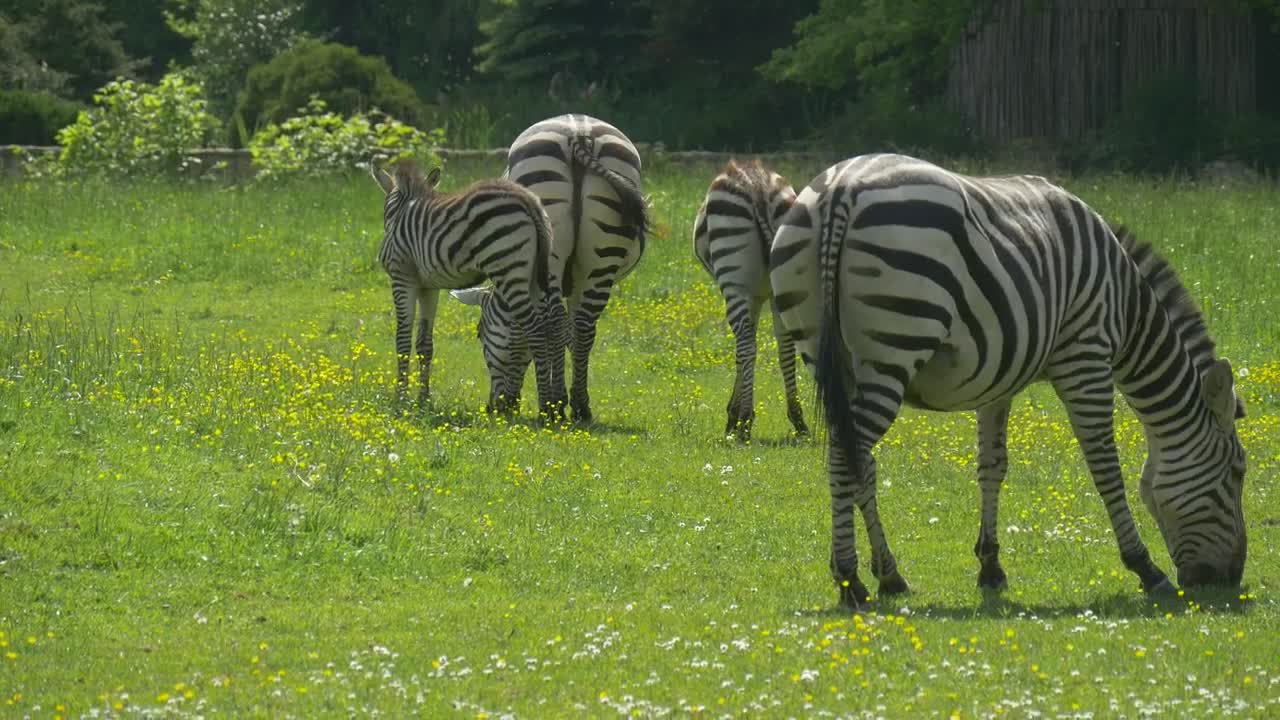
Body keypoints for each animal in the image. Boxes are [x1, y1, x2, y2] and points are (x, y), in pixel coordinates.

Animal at [370, 160, 568, 418]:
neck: (402, 209)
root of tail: (528, 201)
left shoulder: (402, 277)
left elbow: (402, 339)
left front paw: (401, 399)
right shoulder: (428, 286)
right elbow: (425, 343)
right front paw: (423, 399)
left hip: (508, 267)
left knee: (534, 329)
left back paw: (545, 408)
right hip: (537, 274)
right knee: (550, 325)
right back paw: (553, 407)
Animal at [500, 114, 649, 424]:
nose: (498, 406)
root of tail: (580, 132)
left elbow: (539, 329)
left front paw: (550, 397)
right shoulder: (577, 281)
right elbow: (569, 334)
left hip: (551, 235)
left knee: (557, 321)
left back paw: (554, 405)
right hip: (603, 253)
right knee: (584, 326)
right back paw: (581, 406)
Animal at [693, 160, 808, 441]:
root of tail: (757, 185)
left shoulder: (747, 294)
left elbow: (740, 352)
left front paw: (734, 417)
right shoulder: (757, 297)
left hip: (733, 279)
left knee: (746, 345)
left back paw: (745, 422)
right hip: (780, 283)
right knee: (785, 347)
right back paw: (798, 420)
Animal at [769, 153, 1247, 608]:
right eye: (1237, 473)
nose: (1230, 579)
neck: (1127, 309)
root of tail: (842, 188)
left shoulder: (997, 378)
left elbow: (992, 466)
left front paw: (990, 565)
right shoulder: (1086, 355)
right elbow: (1105, 467)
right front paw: (1145, 567)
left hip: (827, 351)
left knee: (859, 460)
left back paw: (889, 575)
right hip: (896, 345)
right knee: (846, 457)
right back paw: (850, 582)